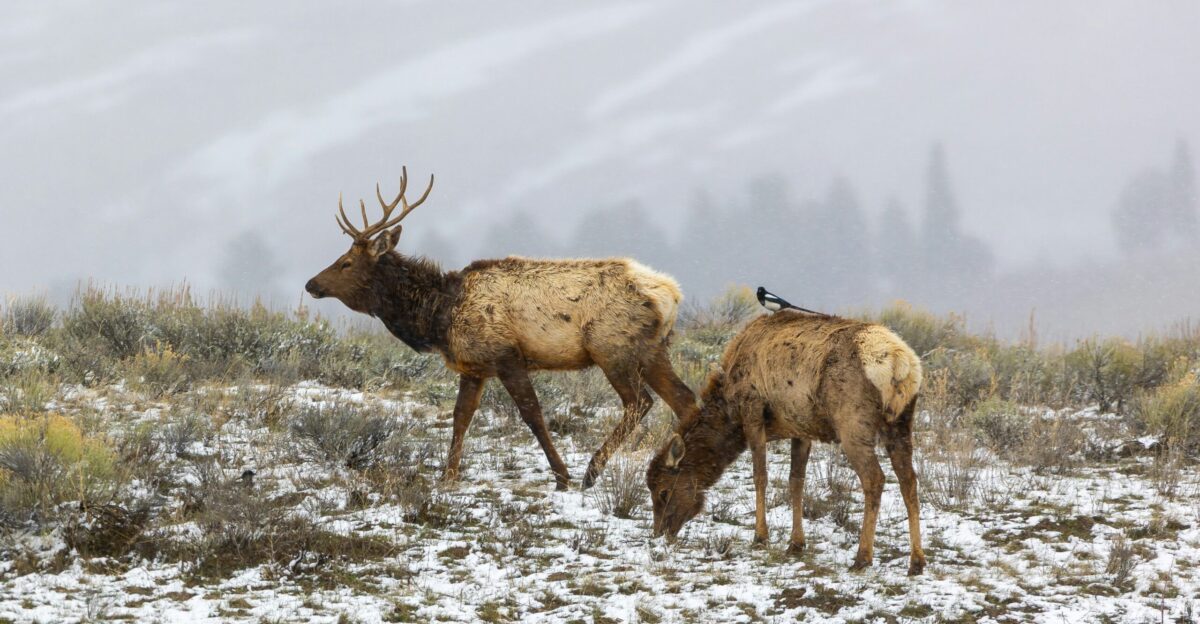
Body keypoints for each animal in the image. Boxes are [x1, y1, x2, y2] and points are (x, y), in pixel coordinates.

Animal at [305, 168, 698, 491]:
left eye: (346, 262)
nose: (311, 284)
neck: (439, 316)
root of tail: (671, 295)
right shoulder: (474, 367)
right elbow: (460, 417)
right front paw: (448, 477)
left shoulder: (506, 355)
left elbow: (532, 414)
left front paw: (562, 476)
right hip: (652, 349)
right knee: (684, 398)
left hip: (612, 347)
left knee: (640, 401)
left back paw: (591, 471)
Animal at [645, 310, 926, 575]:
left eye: (663, 491)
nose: (660, 533)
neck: (729, 410)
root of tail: (902, 365)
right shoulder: (800, 428)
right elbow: (796, 481)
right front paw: (795, 543)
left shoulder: (753, 409)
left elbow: (760, 476)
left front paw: (761, 537)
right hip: (901, 424)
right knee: (909, 480)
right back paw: (916, 561)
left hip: (853, 423)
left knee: (874, 479)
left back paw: (863, 557)